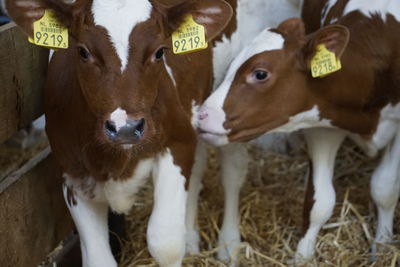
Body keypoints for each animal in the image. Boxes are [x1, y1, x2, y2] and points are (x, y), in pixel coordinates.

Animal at [5, 0, 300, 266]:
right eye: (82, 52)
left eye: (159, 52)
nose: (125, 127)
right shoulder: (73, 175)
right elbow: (100, 260)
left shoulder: (177, 143)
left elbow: (165, 243)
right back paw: (192, 237)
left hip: (230, 106)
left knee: (232, 171)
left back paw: (229, 245)